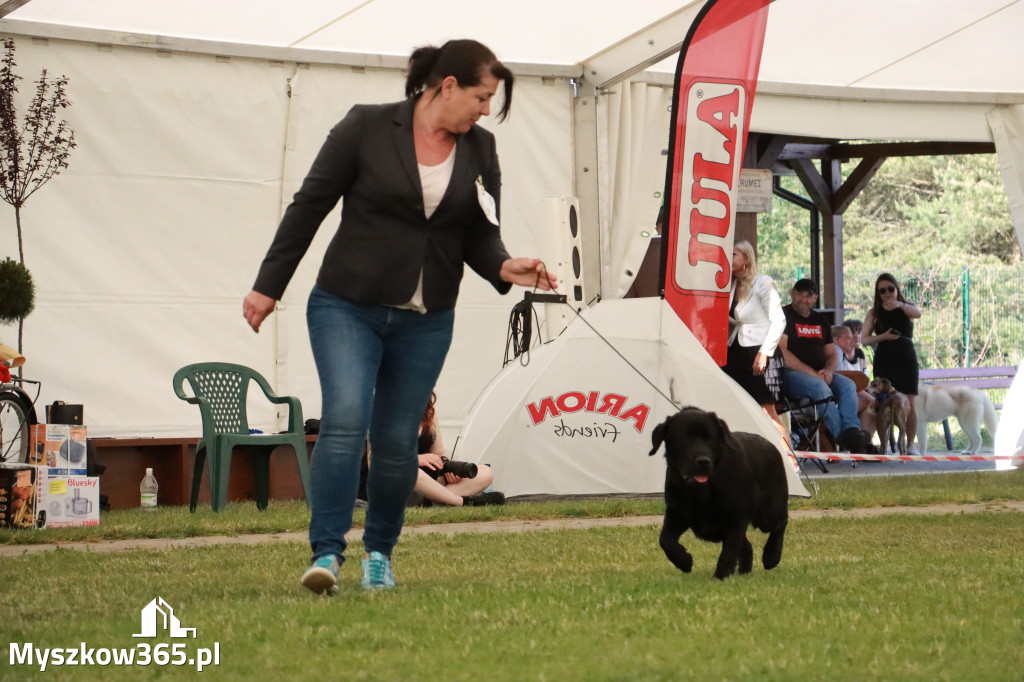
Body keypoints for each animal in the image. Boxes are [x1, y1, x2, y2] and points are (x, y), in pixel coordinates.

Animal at [647, 405, 790, 577]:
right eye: (684, 438)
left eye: (710, 438)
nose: (703, 461)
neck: (700, 491)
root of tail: (772, 445)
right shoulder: (677, 513)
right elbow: (665, 540)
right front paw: (684, 561)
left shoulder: (735, 518)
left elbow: (728, 552)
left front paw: (720, 575)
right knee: (747, 545)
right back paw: (744, 572)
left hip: (768, 513)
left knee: (781, 522)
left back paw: (771, 556)